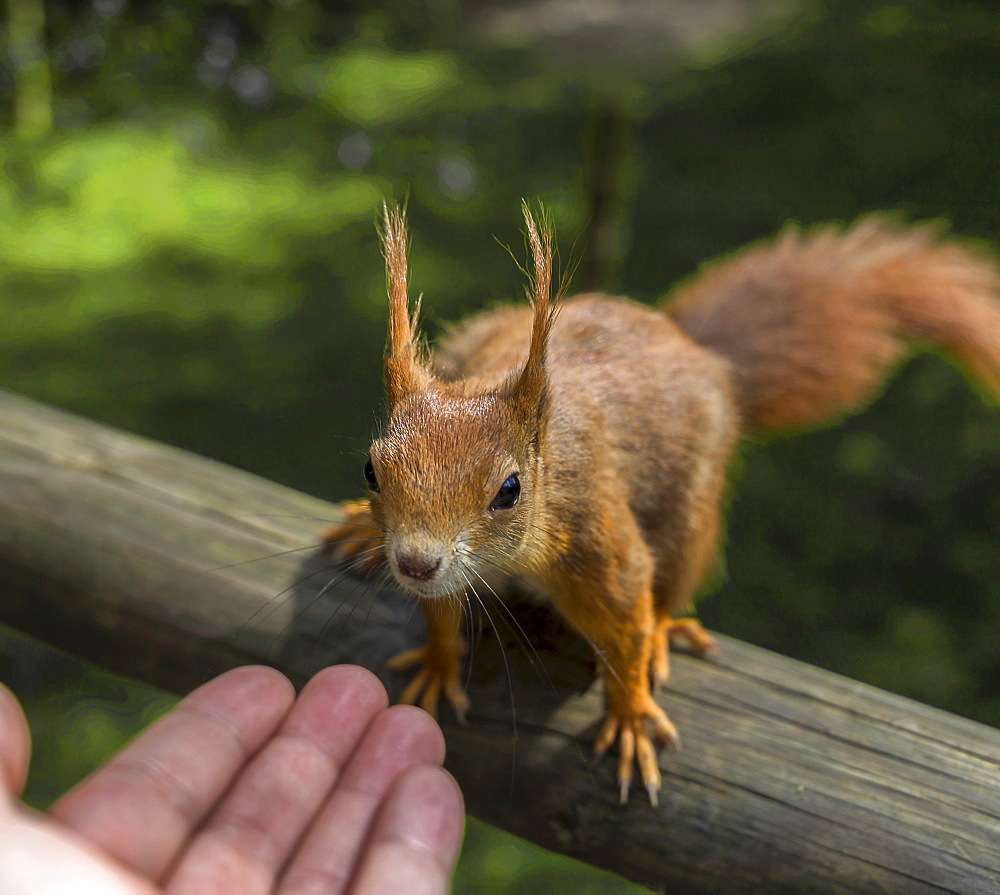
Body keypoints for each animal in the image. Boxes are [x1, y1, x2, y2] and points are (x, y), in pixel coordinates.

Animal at [324, 203, 996, 804]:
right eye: (371, 469)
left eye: (509, 490)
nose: (414, 562)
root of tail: (694, 348)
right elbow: (439, 613)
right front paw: (439, 666)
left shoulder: (594, 539)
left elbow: (624, 622)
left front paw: (629, 717)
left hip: (692, 512)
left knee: (671, 580)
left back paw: (666, 629)